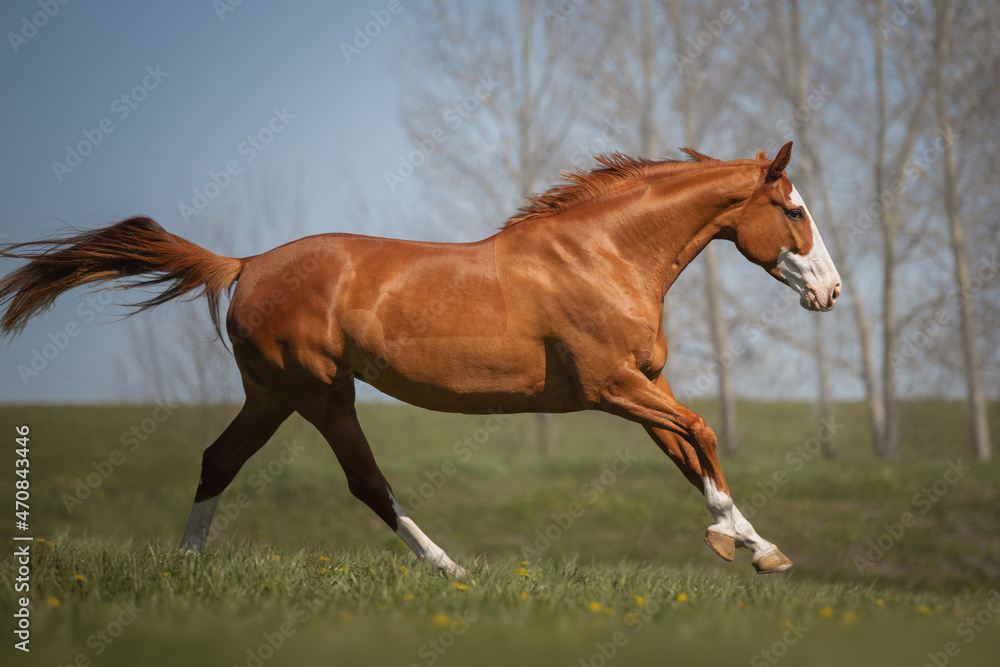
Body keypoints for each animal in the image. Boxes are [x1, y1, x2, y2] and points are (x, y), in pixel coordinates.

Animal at [0, 141, 840, 576]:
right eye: (794, 209)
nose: (829, 291)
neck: (603, 253)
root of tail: (245, 263)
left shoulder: (642, 384)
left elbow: (688, 451)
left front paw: (755, 544)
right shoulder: (612, 386)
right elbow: (702, 431)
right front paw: (742, 543)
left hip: (273, 393)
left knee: (219, 458)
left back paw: (188, 563)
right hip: (320, 392)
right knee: (366, 481)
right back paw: (451, 569)